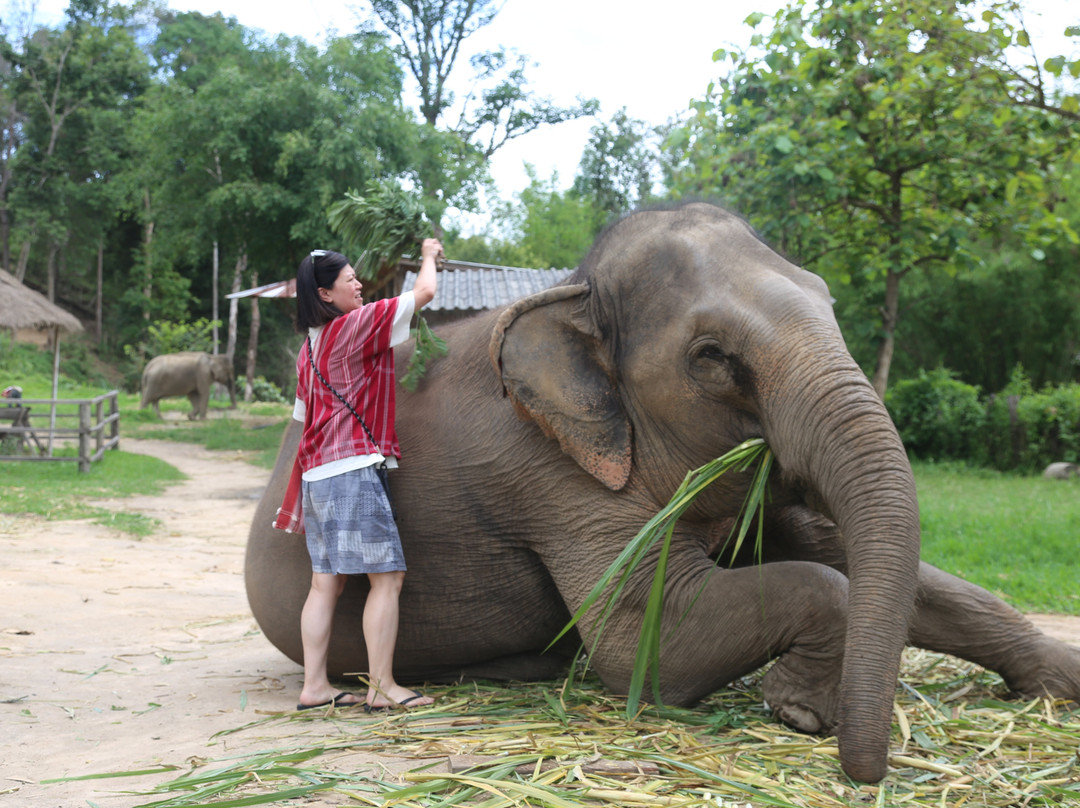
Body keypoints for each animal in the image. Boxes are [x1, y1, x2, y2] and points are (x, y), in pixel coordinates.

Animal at [245, 203, 1080, 783]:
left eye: (829, 303)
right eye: (713, 357)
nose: (866, 774)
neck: (573, 293)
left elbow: (840, 552)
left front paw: (1061, 680)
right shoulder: (544, 470)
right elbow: (646, 641)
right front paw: (800, 710)